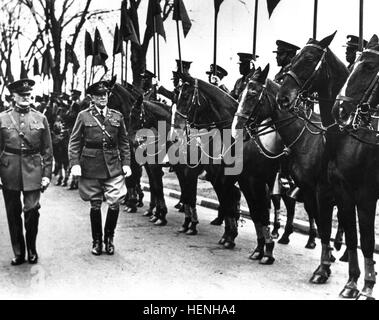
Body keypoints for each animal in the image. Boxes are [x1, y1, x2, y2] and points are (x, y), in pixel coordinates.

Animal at [174, 75, 298, 264]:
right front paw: (230, 237)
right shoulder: (224, 179)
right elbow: (233, 205)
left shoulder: (251, 182)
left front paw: (266, 250)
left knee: (289, 205)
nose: (176, 132)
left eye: (186, 97)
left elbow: (258, 211)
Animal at [274, 33, 366, 296]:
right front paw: (325, 266)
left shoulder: (327, 191)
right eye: (293, 57)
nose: (283, 98)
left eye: (309, 58)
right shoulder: (316, 190)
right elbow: (324, 222)